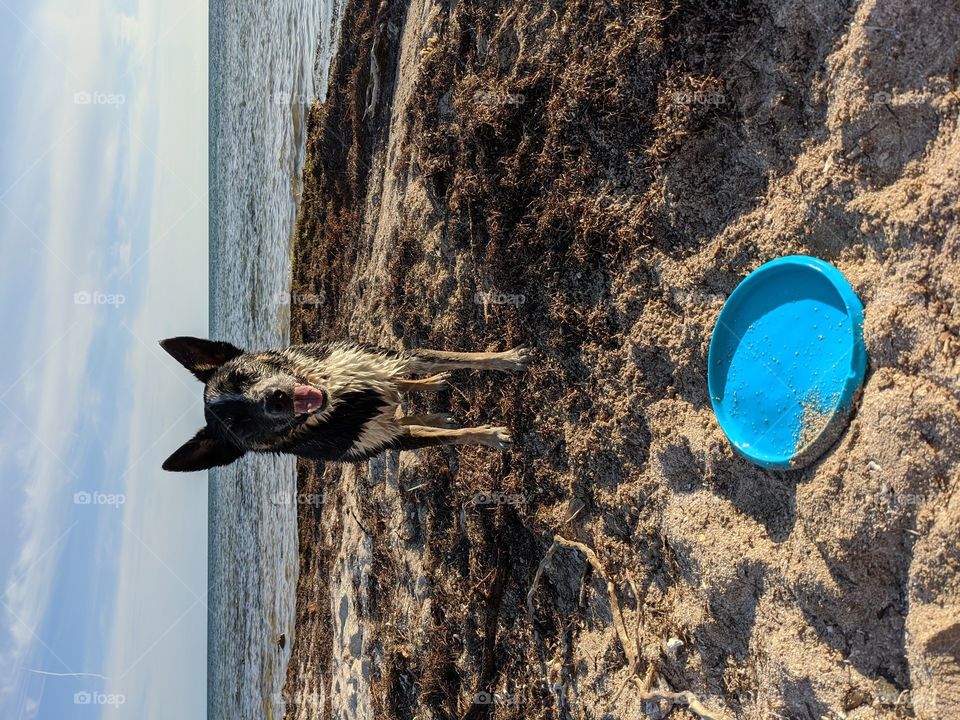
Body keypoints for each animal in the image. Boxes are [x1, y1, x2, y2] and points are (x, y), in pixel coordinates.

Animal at [160, 338, 528, 472]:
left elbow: (449, 356)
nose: (275, 398)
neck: (341, 404)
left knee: (402, 387)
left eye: (243, 375)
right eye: (241, 425)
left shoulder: (386, 361)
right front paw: (491, 435)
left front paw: (507, 359)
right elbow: (444, 437)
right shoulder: (389, 439)